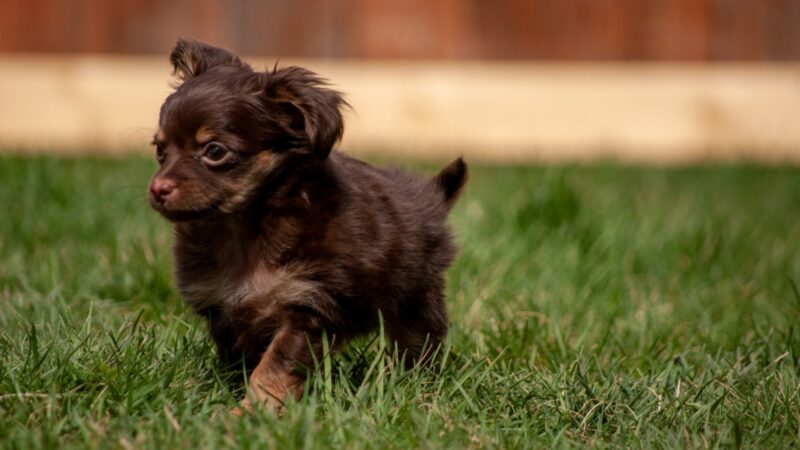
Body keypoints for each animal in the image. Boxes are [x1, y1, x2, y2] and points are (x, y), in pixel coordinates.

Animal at [147, 40, 466, 414]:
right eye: (160, 150)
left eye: (214, 151)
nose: (158, 188)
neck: (245, 229)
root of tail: (430, 197)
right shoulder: (226, 312)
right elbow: (244, 364)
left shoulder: (310, 309)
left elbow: (273, 368)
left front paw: (249, 413)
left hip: (416, 301)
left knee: (419, 346)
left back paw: (413, 385)